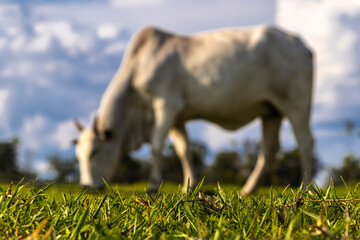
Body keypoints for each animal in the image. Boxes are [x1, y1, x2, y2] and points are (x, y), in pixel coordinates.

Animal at [74, 24, 314, 195]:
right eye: (78, 156)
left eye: (94, 152)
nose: (85, 187)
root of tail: (300, 43)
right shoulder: (177, 118)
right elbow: (184, 150)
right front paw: (188, 186)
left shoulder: (166, 105)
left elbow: (156, 145)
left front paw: (153, 185)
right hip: (271, 111)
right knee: (269, 150)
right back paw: (247, 190)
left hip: (296, 105)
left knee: (305, 142)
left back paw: (305, 188)